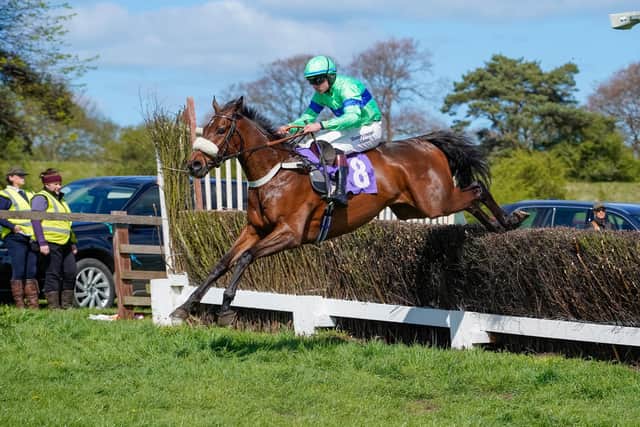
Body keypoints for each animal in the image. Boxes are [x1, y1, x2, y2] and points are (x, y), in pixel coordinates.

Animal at [170, 96, 526, 321]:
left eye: (220, 129)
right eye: (204, 128)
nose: (194, 165)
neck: (277, 172)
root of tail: (425, 142)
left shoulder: (290, 233)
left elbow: (245, 258)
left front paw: (226, 309)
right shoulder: (254, 229)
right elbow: (222, 263)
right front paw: (184, 307)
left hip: (435, 201)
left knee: (477, 190)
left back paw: (510, 221)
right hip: (413, 207)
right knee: (472, 197)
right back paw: (498, 227)